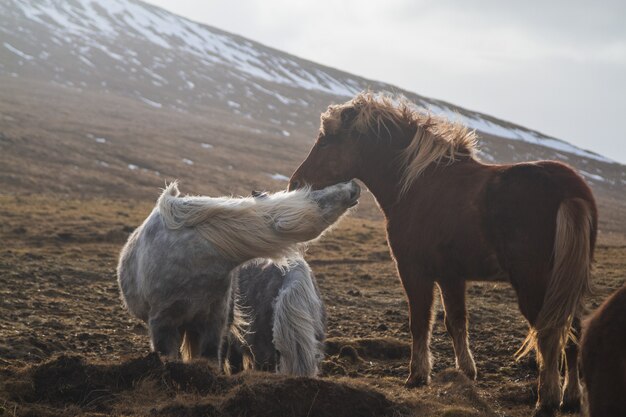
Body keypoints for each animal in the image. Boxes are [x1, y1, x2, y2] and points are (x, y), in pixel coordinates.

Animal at [288, 92, 596, 416]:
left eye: (325, 141)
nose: (296, 182)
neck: (417, 184)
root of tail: (570, 191)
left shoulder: (413, 270)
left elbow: (420, 321)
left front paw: (417, 375)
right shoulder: (451, 276)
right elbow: (456, 321)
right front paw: (466, 372)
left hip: (534, 285)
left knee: (549, 335)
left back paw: (546, 401)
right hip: (568, 285)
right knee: (573, 332)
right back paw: (571, 397)